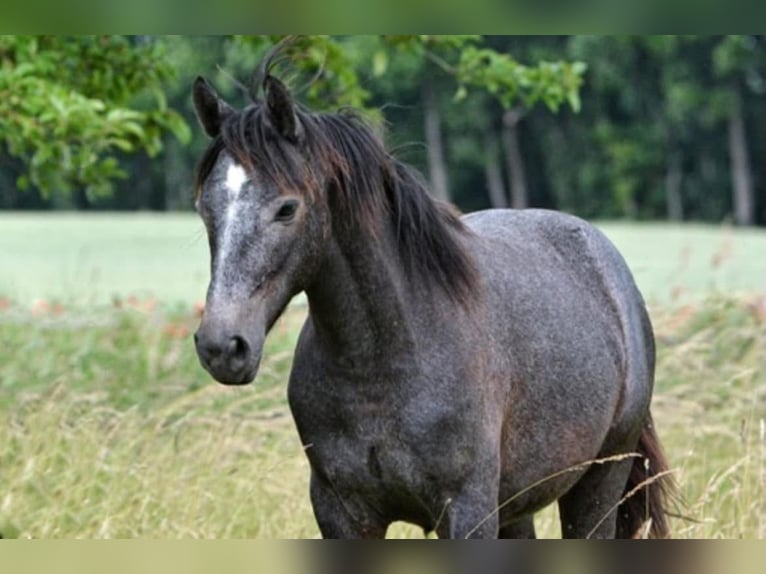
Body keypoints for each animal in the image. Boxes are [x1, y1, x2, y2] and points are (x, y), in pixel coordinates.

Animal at [194, 54, 680, 540]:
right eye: (204, 207)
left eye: (287, 208)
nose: (222, 346)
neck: (383, 359)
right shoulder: (340, 512)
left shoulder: (467, 510)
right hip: (517, 504)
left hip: (599, 481)